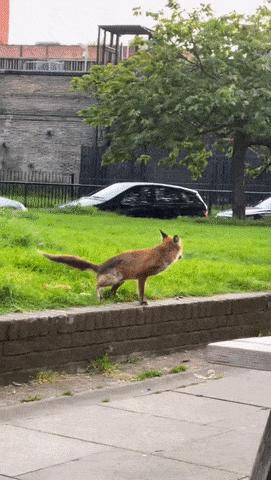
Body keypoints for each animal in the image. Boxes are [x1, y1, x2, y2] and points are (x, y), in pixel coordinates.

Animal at [42, 231, 183, 306]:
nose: (182, 256)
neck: (161, 253)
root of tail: (100, 266)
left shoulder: (140, 277)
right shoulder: (142, 276)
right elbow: (141, 292)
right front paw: (142, 302)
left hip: (120, 281)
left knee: (110, 291)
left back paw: (113, 298)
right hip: (114, 279)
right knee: (97, 285)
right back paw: (99, 297)